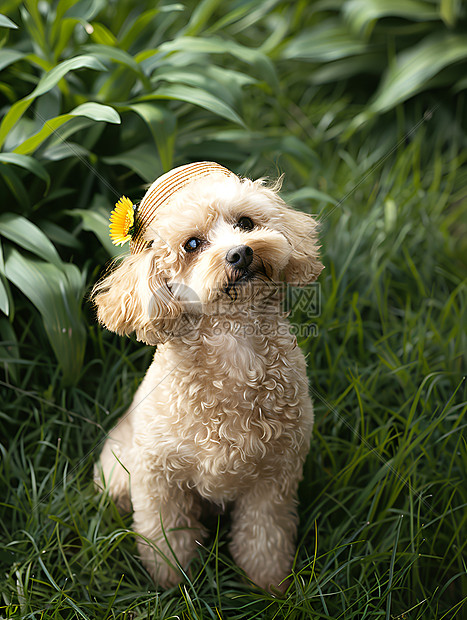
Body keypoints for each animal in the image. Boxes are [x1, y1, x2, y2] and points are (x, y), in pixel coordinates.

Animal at [93, 161, 324, 592]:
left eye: (246, 222)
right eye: (192, 244)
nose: (241, 252)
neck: (234, 344)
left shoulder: (275, 477)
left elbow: (264, 534)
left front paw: (269, 583)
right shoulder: (158, 478)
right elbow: (166, 535)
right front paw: (171, 582)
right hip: (118, 471)